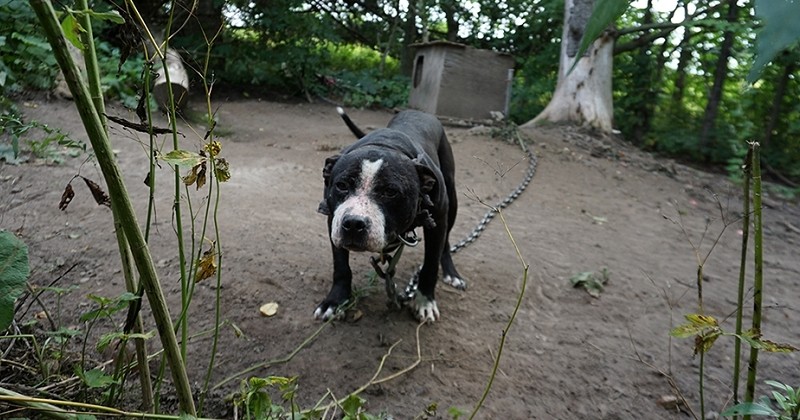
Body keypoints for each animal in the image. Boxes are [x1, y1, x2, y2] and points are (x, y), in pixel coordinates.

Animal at [316, 108, 466, 322]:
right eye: (342, 185)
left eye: (390, 192)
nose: (353, 224)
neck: (385, 145)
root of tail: (420, 111)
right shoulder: (333, 220)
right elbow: (341, 266)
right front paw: (335, 301)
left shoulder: (437, 219)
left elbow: (430, 265)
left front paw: (425, 301)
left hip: (451, 202)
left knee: (444, 243)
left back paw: (451, 273)